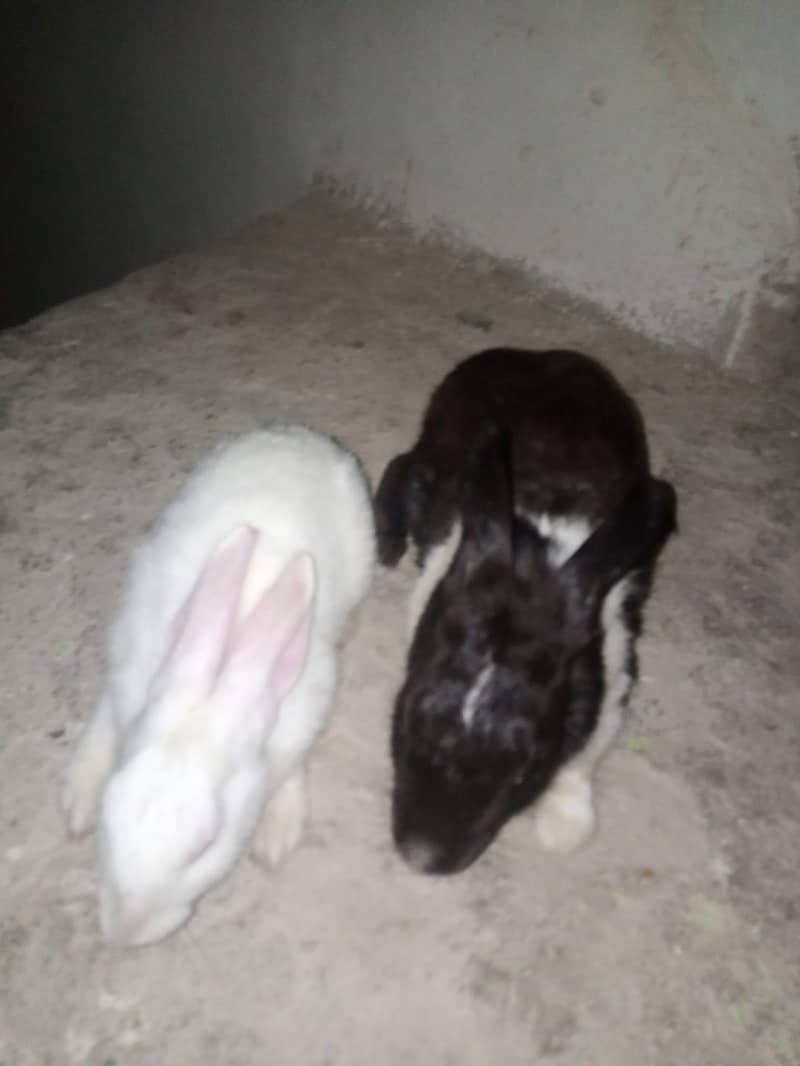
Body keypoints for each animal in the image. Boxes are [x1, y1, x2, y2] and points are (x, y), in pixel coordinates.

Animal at [62, 425, 375, 945]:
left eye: (205, 848)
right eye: (111, 814)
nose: (123, 932)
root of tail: (297, 436)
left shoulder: (299, 718)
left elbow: (290, 771)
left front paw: (276, 836)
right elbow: (104, 721)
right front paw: (79, 804)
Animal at [374, 348, 677, 875]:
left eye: (523, 771)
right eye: (408, 722)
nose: (422, 856)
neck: (541, 559)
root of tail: (538, 355)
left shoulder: (615, 671)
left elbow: (583, 759)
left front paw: (564, 832)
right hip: (426, 465)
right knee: (400, 466)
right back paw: (387, 546)